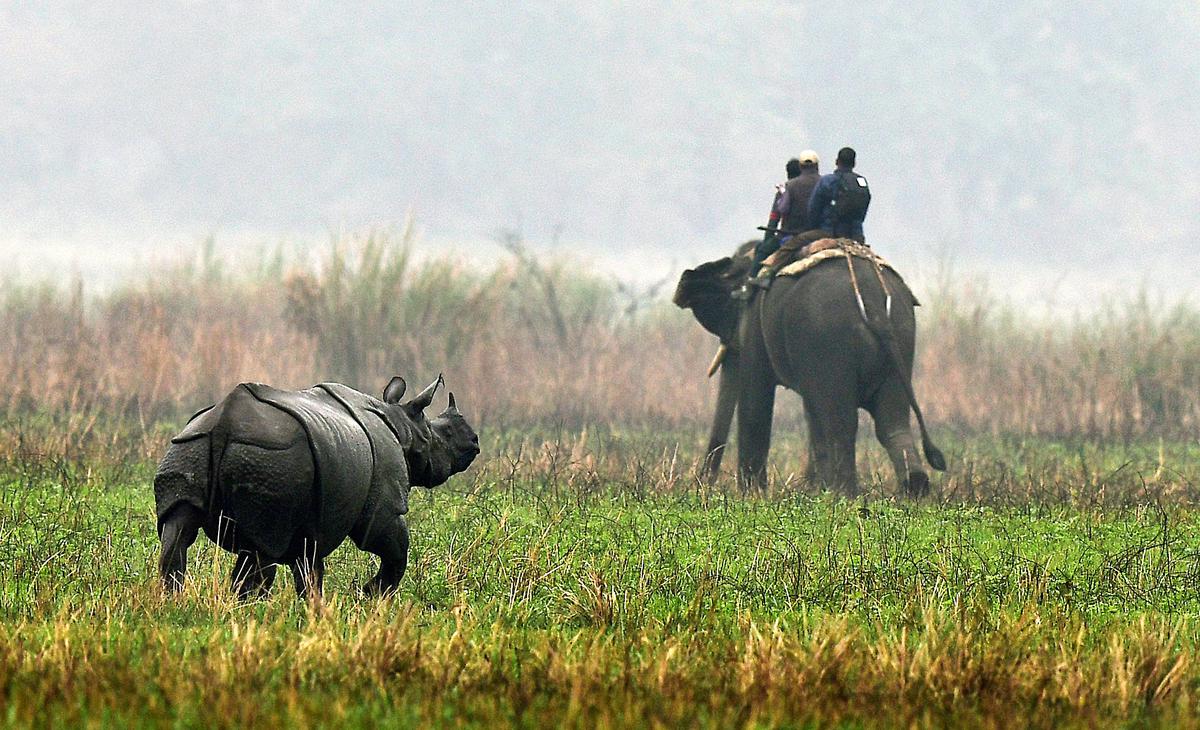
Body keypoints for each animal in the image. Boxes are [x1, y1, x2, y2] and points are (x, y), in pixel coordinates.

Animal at [153, 377, 477, 597]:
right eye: (443, 434)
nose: (474, 442)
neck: (402, 425)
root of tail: (223, 424)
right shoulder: (383, 506)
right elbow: (394, 547)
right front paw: (368, 596)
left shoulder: (313, 519)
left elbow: (310, 569)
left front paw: (316, 611)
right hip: (271, 458)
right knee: (261, 548)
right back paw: (247, 612)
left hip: (189, 445)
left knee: (177, 529)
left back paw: (176, 602)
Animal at [676, 241, 945, 497]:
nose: (703, 485)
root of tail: (872, 302)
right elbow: (811, 412)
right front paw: (815, 487)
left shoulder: (756, 326)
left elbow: (755, 398)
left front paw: (752, 494)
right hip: (901, 336)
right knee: (891, 421)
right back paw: (913, 486)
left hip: (829, 338)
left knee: (841, 422)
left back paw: (843, 494)